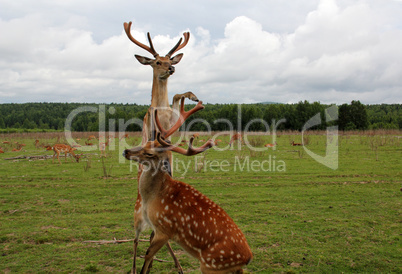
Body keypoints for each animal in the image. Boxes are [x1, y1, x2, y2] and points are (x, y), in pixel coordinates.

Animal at [122, 22, 199, 274]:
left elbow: (177, 98)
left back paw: (173, 264)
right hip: (137, 217)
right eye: (157, 62)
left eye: (170, 60)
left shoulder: (172, 125)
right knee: (136, 239)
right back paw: (137, 267)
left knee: (153, 237)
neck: (161, 109)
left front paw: (191, 95)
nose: (171, 68)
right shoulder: (151, 130)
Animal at [124, 99, 253, 272]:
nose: (126, 151)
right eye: (146, 142)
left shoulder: (164, 229)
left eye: (150, 153)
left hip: (210, 265)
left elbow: (147, 256)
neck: (152, 197)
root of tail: (248, 258)